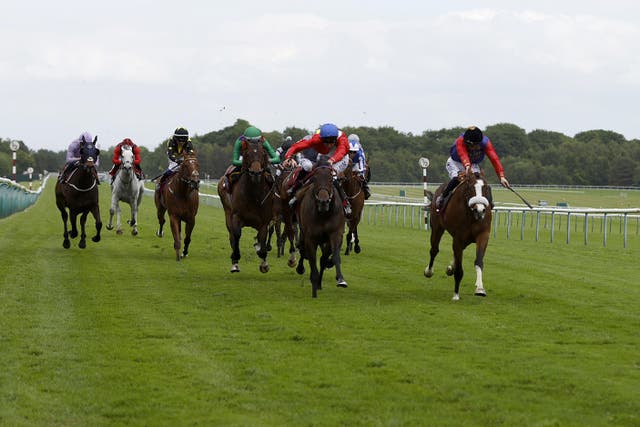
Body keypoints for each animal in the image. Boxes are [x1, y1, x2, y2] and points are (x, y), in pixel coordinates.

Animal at [218, 140, 276, 274]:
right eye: (247, 154)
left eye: (263, 153)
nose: (256, 173)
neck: (253, 195)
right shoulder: (236, 216)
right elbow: (236, 235)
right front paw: (235, 260)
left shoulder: (264, 221)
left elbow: (262, 238)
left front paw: (264, 262)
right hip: (227, 212)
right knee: (231, 236)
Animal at [294, 155, 344, 300]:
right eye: (315, 178)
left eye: (331, 178)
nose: (323, 202)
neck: (323, 214)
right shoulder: (311, 238)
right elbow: (311, 259)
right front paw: (314, 287)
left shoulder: (334, 235)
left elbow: (333, 257)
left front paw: (340, 280)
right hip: (303, 231)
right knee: (302, 248)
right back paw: (301, 268)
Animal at [428, 171, 492, 300]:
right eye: (470, 187)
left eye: (485, 188)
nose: (480, 210)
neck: (472, 215)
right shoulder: (458, 238)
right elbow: (459, 269)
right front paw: (456, 294)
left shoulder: (483, 235)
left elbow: (479, 261)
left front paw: (480, 289)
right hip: (437, 227)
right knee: (434, 249)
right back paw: (429, 271)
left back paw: (450, 268)